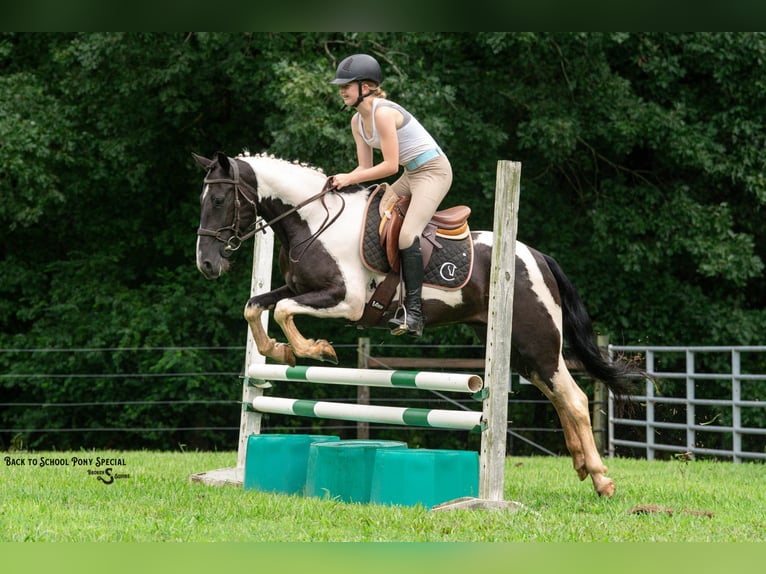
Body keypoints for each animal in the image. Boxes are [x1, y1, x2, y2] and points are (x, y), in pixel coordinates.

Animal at [193, 150, 642, 498]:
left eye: (219, 199)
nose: (207, 265)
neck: (314, 221)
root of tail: (537, 256)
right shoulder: (297, 287)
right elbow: (255, 306)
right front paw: (279, 352)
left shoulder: (347, 301)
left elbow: (284, 310)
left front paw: (316, 350)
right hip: (519, 349)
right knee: (557, 394)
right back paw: (582, 465)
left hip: (537, 340)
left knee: (574, 397)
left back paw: (602, 480)